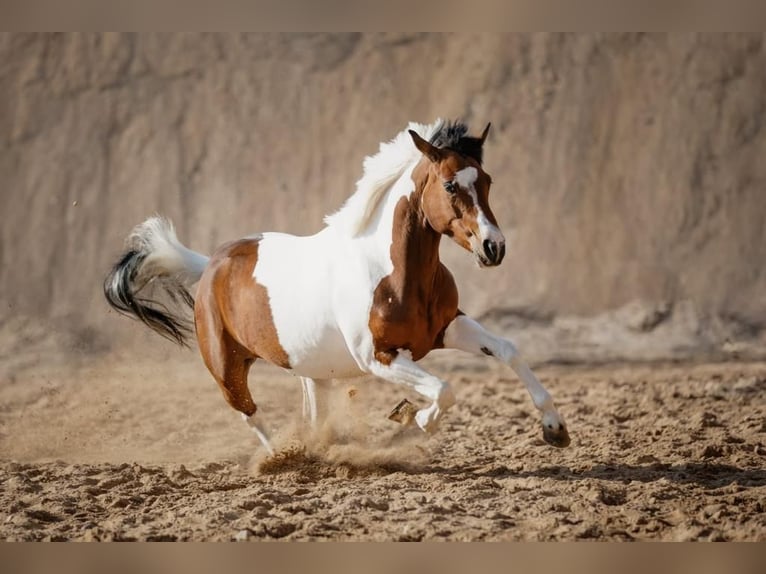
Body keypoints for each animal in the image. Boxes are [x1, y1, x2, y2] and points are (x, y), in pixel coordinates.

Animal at [103, 120, 568, 454]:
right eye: (451, 184)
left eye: (487, 181)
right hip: (227, 367)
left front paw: (555, 428)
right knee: (249, 413)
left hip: (311, 371)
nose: (494, 247)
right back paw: (282, 458)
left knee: (310, 417)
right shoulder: (377, 357)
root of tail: (212, 262)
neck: (392, 273)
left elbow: (507, 350)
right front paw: (410, 422)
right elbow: (444, 389)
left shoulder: (446, 328)